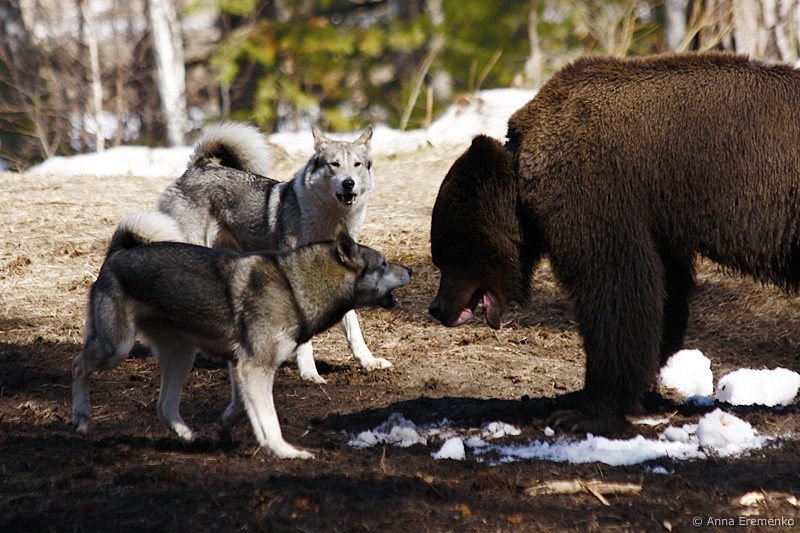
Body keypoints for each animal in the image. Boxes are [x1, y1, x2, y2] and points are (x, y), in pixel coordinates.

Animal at [71, 211, 411, 458]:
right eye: (383, 263)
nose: (410, 270)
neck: (293, 285)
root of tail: (116, 254)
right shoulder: (255, 367)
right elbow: (270, 419)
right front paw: (285, 451)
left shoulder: (240, 366)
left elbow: (239, 409)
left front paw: (224, 430)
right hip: (116, 347)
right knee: (78, 365)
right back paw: (81, 417)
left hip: (181, 355)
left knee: (164, 407)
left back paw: (188, 435)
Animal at [158, 123, 383, 384]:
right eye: (334, 164)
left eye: (357, 164)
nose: (349, 183)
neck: (330, 222)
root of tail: (196, 167)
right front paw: (309, 373)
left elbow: (354, 330)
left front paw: (370, 362)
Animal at [429, 52, 800, 435]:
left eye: (448, 253)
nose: (437, 306)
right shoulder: (657, 222)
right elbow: (664, 301)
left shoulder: (593, 194)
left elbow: (616, 293)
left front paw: (586, 412)